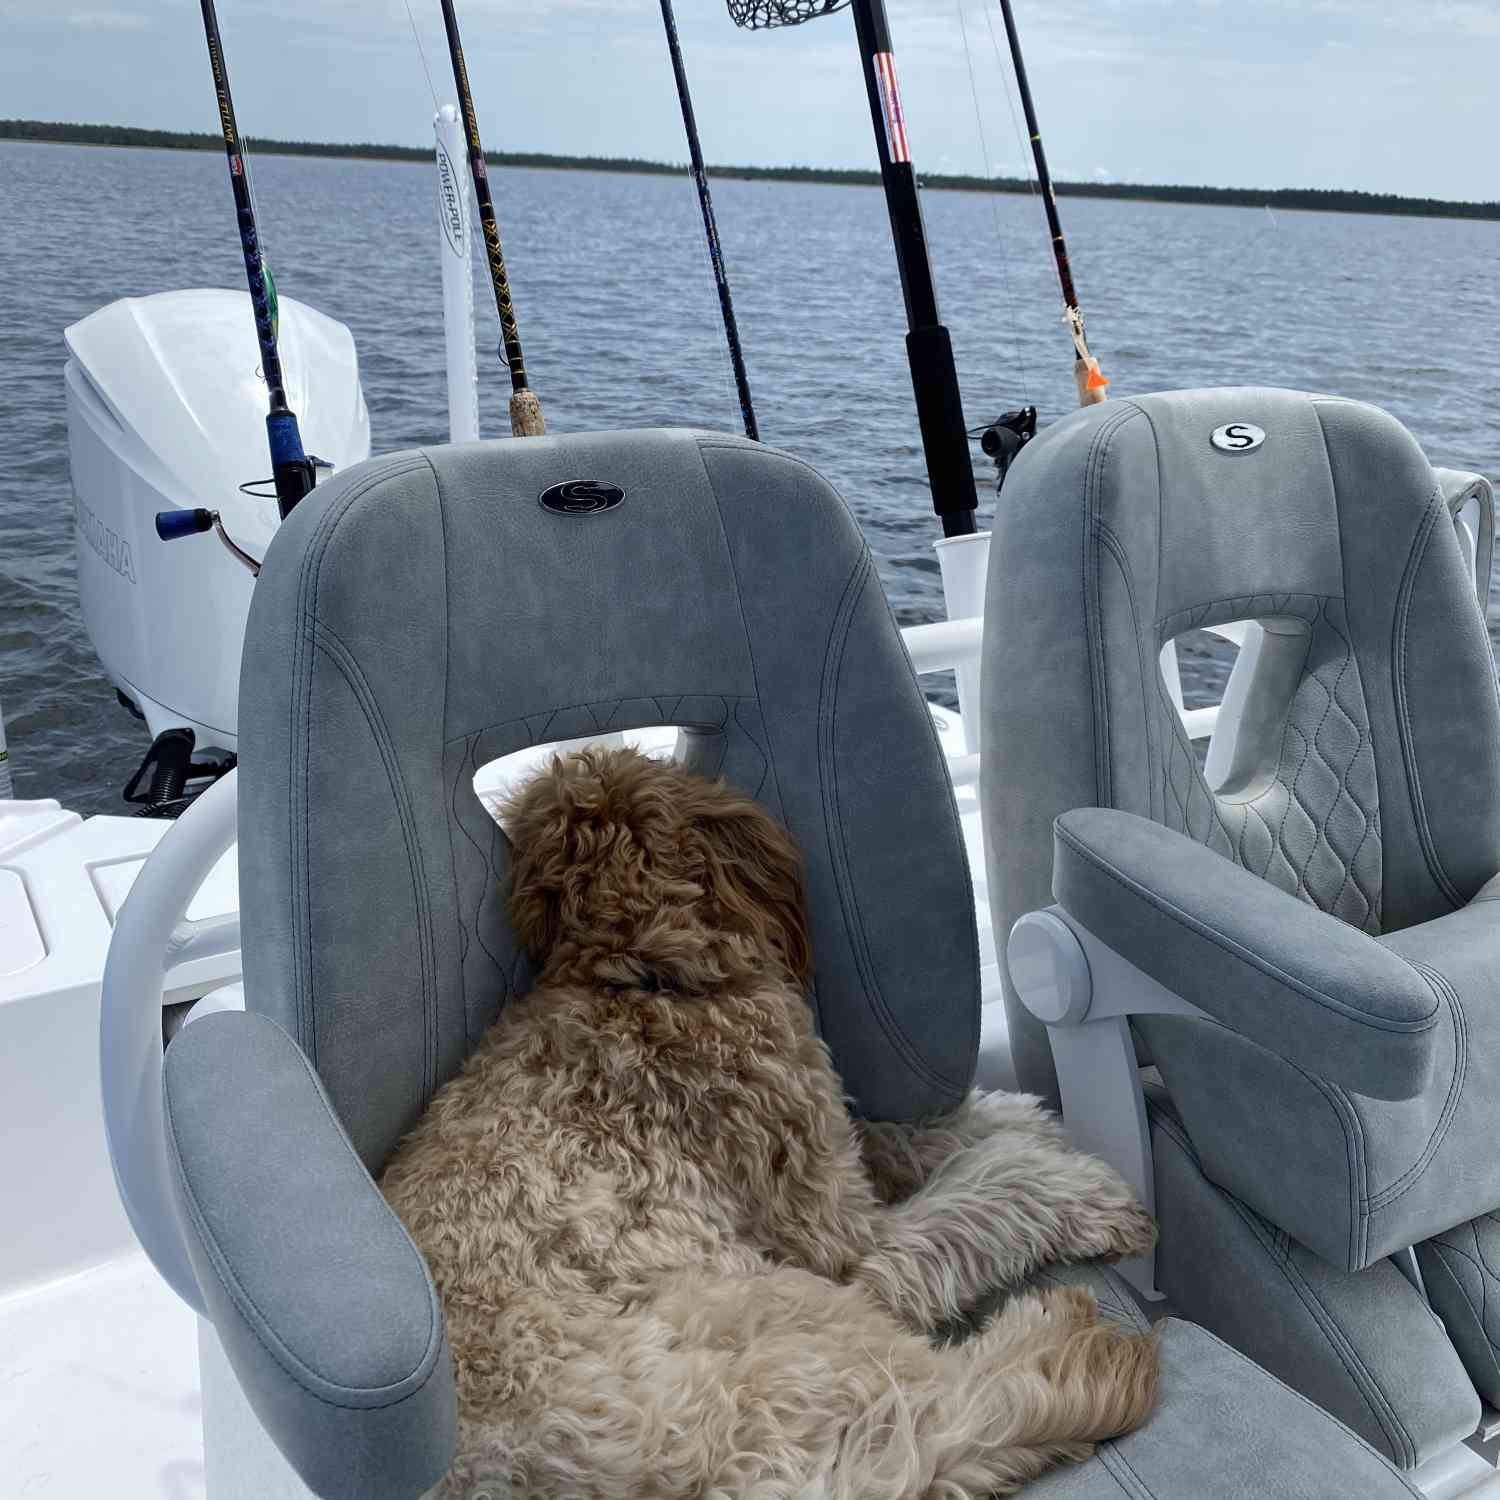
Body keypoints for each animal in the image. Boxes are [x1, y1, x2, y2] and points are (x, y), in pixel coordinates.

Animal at [381, 750, 1152, 1500]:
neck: (643, 976)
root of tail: (512, 1474)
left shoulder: (824, 1138)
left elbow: (903, 1138)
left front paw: (1011, 1121)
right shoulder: (838, 1235)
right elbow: (977, 1205)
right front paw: (1075, 1187)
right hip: (780, 1313)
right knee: (933, 1423)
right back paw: (1064, 1348)